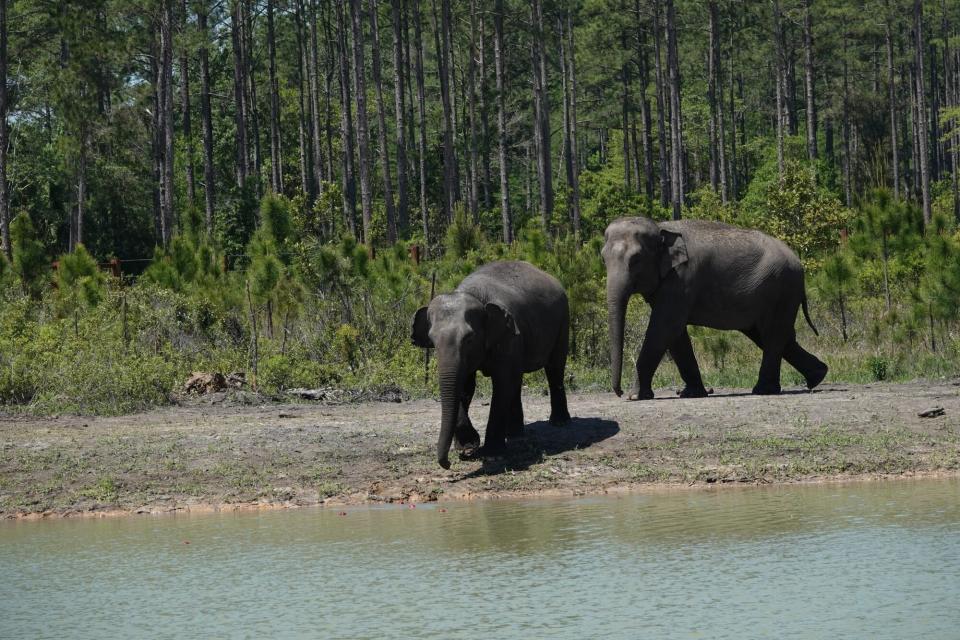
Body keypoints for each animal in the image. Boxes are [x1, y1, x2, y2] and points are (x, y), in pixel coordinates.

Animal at [412, 260, 568, 470]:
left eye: (469, 338)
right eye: (432, 340)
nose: (447, 464)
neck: (473, 294)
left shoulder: (509, 336)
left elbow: (501, 383)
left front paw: (492, 453)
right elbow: (466, 386)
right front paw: (468, 445)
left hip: (563, 320)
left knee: (555, 368)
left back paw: (559, 423)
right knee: (517, 380)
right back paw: (514, 434)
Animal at [604, 218, 828, 402]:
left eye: (636, 260)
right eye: (603, 258)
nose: (619, 392)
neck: (660, 228)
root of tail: (798, 262)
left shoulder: (682, 279)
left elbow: (665, 327)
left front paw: (635, 396)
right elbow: (675, 334)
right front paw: (691, 394)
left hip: (782, 289)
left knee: (772, 335)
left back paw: (763, 390)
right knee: (770, 336)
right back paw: (818, 376)